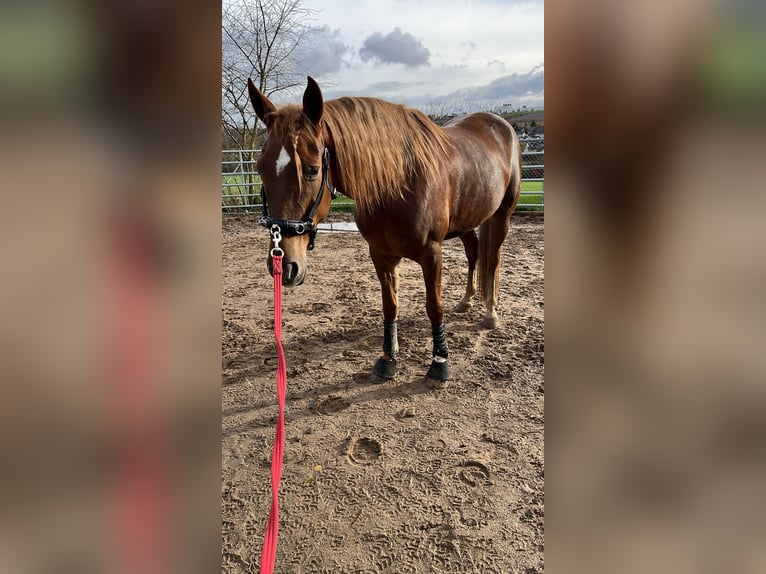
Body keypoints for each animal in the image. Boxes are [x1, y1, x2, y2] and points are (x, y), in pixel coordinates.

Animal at [249, 74, 524, 384]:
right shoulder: (381, 255)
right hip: (467, 221)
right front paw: (388, 359)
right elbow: (390, 305)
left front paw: (440, 362)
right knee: (474, 253)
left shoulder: (432, 254)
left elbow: (434, 306)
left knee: (493, 261)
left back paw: (490, 312)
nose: (284, 266)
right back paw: (466, 301)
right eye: (260, 168)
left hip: (502, 215)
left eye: (311, 170)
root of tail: (501, 126)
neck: (399, 182)